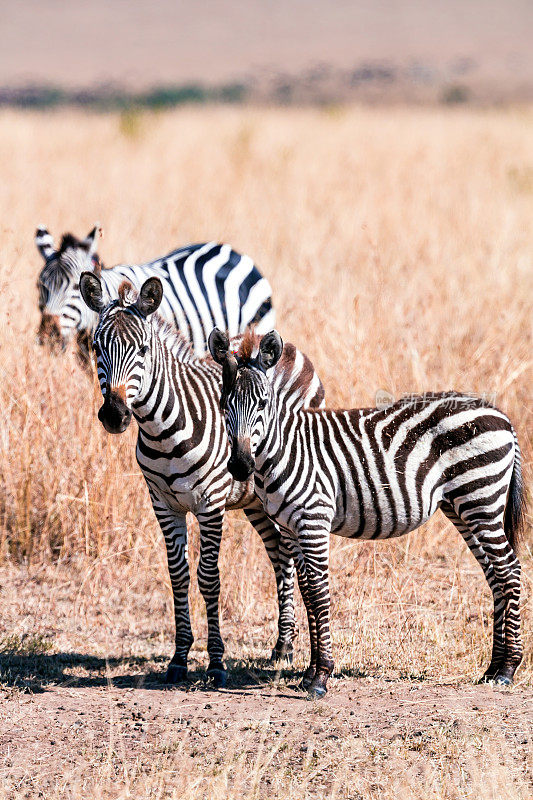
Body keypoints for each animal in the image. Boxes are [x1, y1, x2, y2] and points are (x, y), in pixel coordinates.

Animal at [77, 272, 322, 684]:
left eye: (142, 349)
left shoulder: (211, 505)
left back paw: (292, 650)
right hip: (256, 499)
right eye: (97, 347)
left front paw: (217, 663)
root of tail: (272, 341)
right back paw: (282, 646)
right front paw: (178, 659)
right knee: (281, 554)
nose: (114, 415)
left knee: (297, 559)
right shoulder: (163, 505)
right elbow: (178, 576)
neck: (161, 429)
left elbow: (209, 578)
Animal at [208, 328, 524, 696]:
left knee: (509, 570)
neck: (286, 448)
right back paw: (493, 668)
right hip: (463, 507)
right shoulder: (290, 527)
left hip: (480, 498)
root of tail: (499, 414)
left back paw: (508, 669)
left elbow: (319, 592)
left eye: (262, 403)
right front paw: (310, 672)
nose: (240, 465)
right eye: (223, 404)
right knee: (495, 574)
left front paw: (321, 676)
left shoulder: (313, 519)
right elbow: (306, 592)